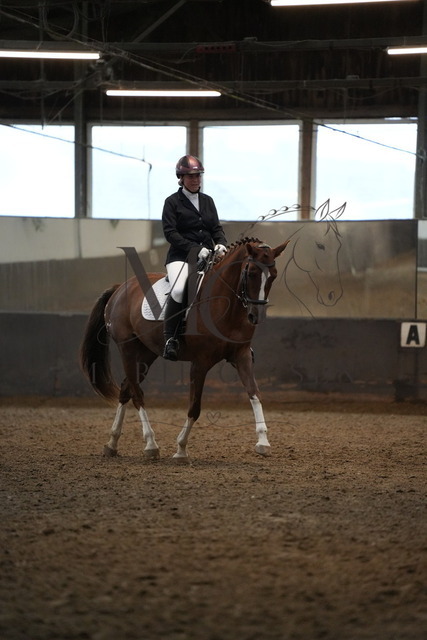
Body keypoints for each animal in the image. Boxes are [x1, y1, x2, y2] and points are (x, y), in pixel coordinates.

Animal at [79, 238, 289, 463]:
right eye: (251, 273)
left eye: (273, 275)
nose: (255, 316)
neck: (225, 305)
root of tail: (121, 287)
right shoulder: (200, 362)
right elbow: (194, 407)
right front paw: (180, 449)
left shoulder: (241, 356)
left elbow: (254, 393)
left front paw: (263, 442)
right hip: (128, 348)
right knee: (136, 393)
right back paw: (150, 444)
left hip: (147, 353)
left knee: (126, 388)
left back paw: (112, 443)